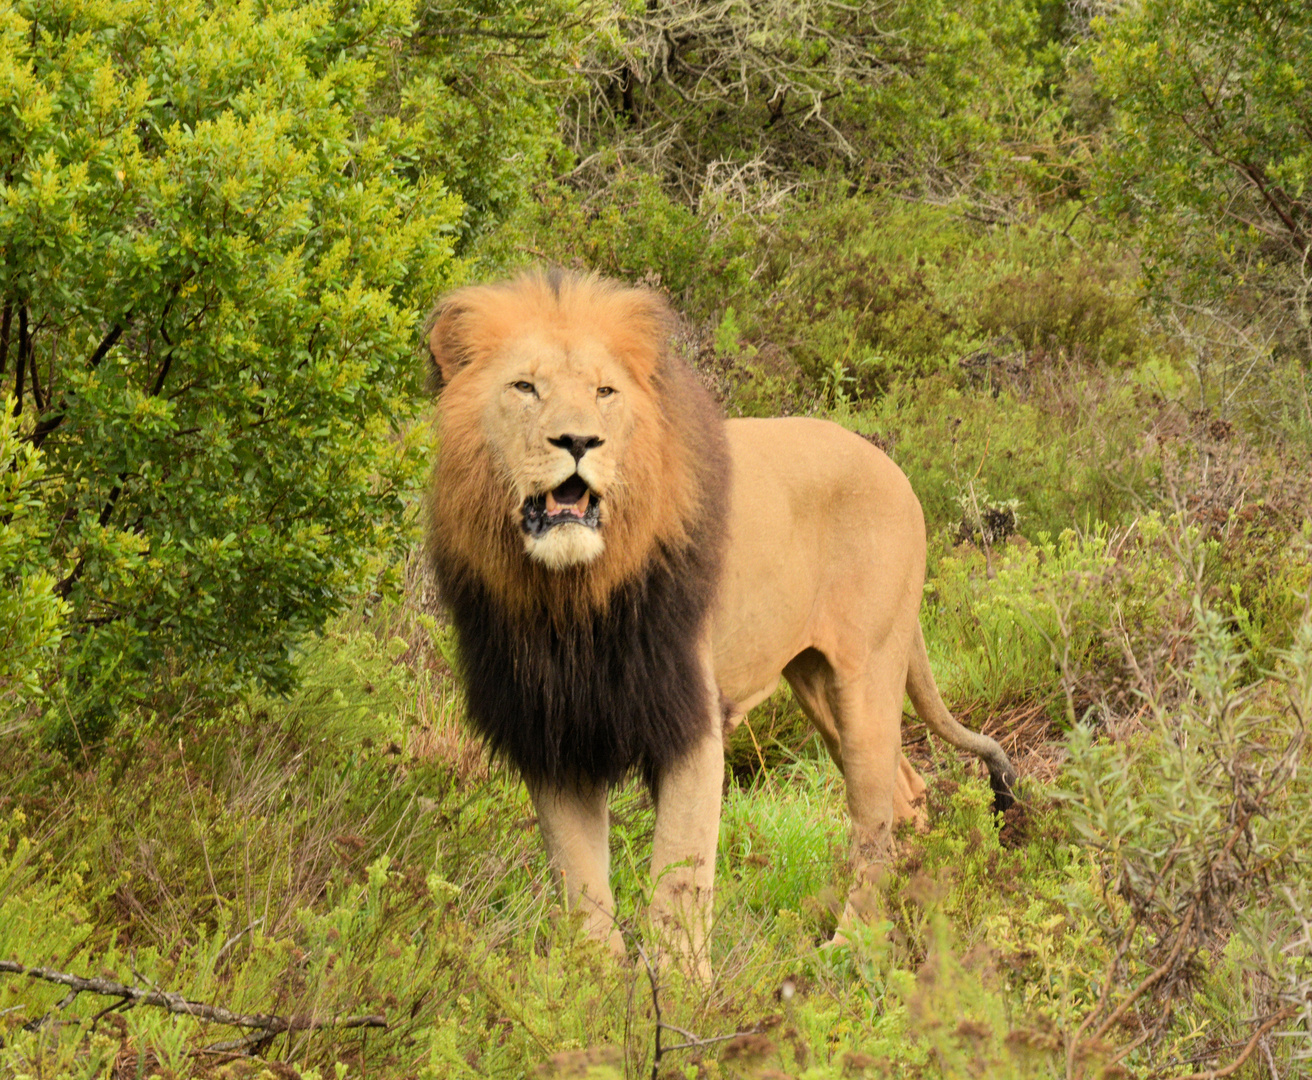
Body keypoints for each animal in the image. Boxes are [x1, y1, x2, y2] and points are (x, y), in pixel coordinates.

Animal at [425, 267, 1018, 971]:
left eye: (604, 392)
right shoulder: (553, 735)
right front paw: (594, 988)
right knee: (909, 795)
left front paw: (683, 990)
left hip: (868, 674)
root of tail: (891, 465)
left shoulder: (691, 722)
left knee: (874, 820)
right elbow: (582, 889)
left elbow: (679, 881)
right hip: (816, 683)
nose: (578, 441)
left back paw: (848, 948)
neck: (571, 597)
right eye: (524, 387)